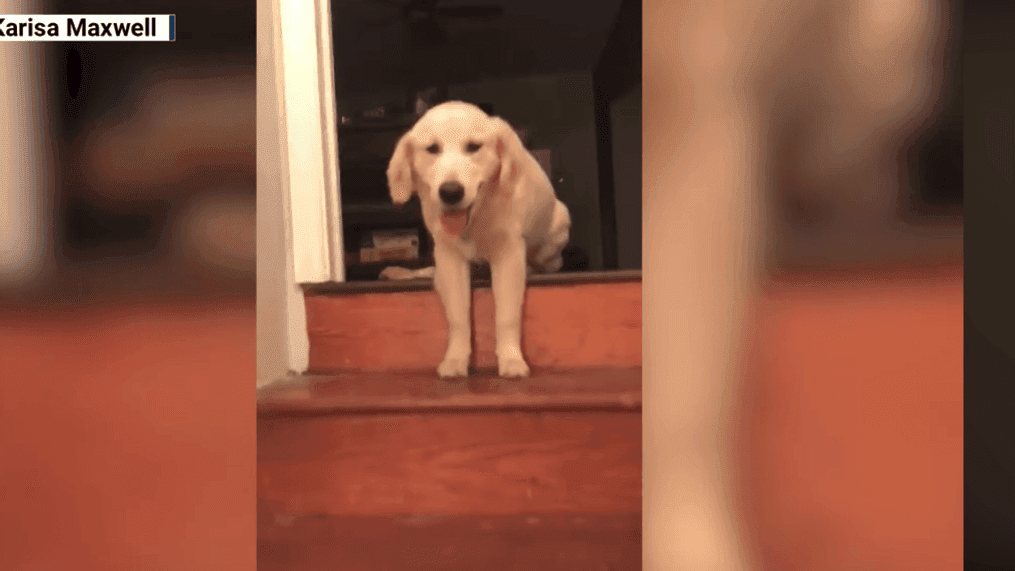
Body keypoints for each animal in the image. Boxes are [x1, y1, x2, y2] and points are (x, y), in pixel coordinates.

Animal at [381, 102, 572, 379]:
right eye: (432, 149)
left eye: (473, 147)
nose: (450, 192)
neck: (474, 221)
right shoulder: (449, 257)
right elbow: (458, 317)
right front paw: (455, 359)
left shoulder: (508, 254)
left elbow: (507, 316)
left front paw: (512, 359)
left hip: (557, 228)